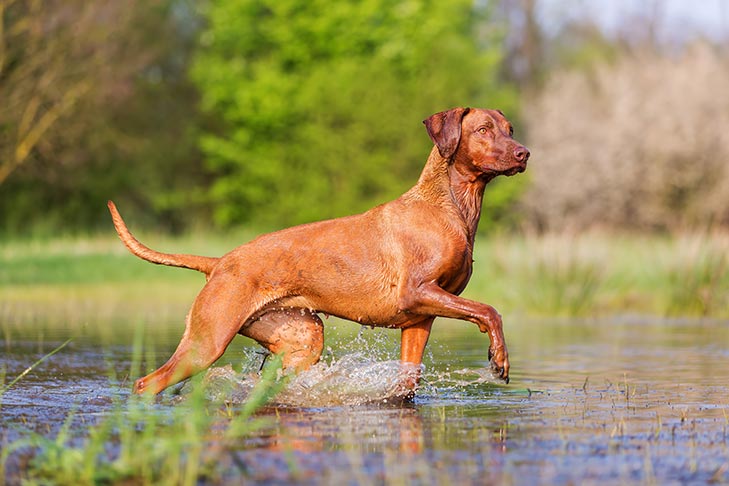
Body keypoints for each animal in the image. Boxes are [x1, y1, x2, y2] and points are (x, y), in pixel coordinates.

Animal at [108, 106, 528, 394]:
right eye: (483, 129)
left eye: (509, 129)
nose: (524, 153)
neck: (449, 206)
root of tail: (220, 262)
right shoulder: (419, 293)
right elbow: (488, 310)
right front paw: (499, 358)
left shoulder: (420, 319)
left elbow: (408, 381)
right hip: (207, 341)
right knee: (147, 384)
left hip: (303, 339)